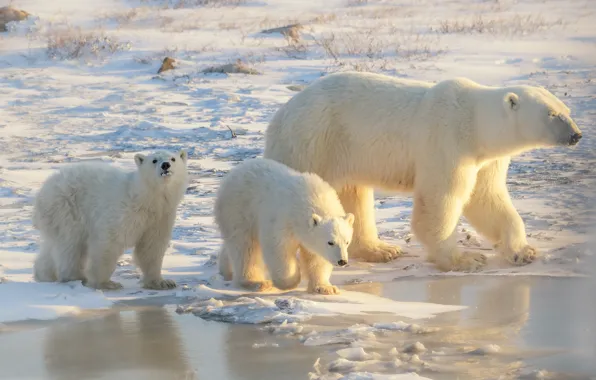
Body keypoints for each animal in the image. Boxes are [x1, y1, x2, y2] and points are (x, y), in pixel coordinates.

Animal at [266, 71, 584, 272]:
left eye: (566, 110)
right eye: (552, 114)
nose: (576, 135)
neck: (475, 122)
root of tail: (280, 115)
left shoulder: (485, 159)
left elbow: (488, 199)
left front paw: (523, 251)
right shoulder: (446, 140)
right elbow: (441, 199)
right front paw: (464, 259)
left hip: (344, 153)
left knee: (352, 195)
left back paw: (381, 250)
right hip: (312, 143)